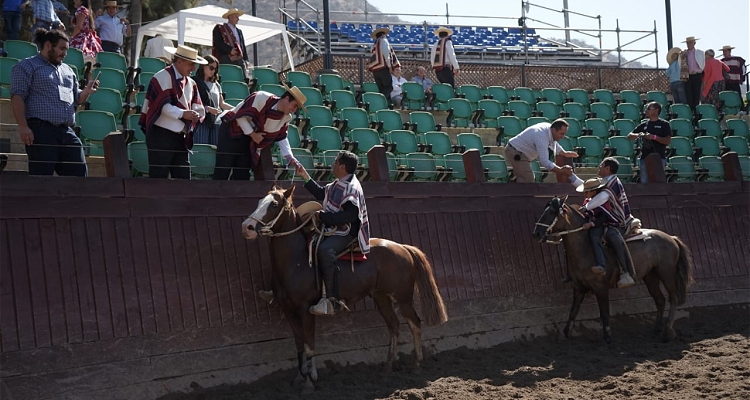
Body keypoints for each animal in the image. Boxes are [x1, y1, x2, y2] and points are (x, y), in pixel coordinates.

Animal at [244, 185, 450, 390]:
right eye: (259, 202)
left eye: (274, 204)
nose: (246, 227)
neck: (297, 259)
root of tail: (403, 247)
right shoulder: (288, 310)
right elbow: (299, 344)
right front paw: (298, 378)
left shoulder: (305, 309)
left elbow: (309, 345)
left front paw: (309, 383)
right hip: (381, 298)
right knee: (394, 326)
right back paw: (388, 366)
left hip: (403, 297)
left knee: (415, 323)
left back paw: (416, 365)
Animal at [532, 195, 696, 342]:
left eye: (552, 212)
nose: (536, 233)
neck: (585, 247)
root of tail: (671, 238)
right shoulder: (578, 287)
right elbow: (573, 312)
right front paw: (566, 334)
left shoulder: (601, 288)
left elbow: (604, 313)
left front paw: (607, 337)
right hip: (651, 276)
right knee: (660, 300)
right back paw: (656, 329)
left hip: (666, 273)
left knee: (673, 298)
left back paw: (668, 331)